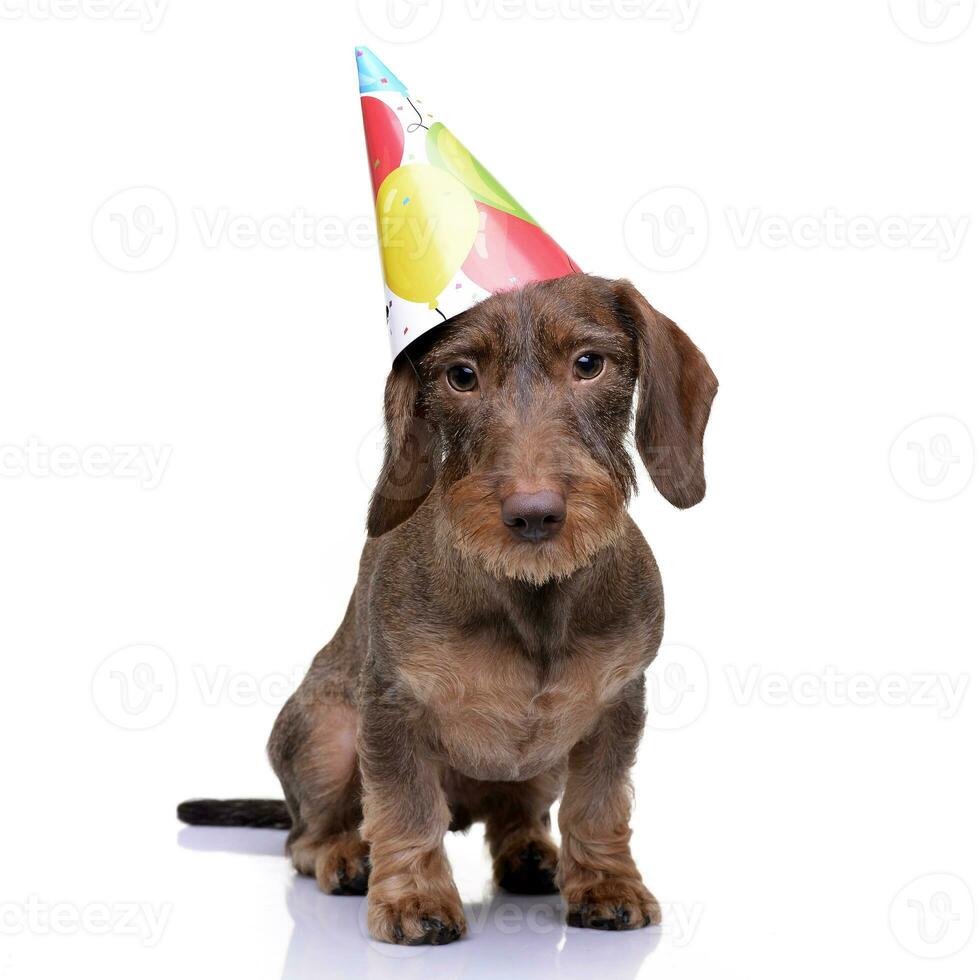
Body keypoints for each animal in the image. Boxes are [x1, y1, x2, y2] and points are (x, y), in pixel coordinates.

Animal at [176, 272, 716, 944]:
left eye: (589, 364)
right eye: (461, 376)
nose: (534, 514)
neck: (532, 598)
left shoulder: (615, 707)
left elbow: (597, 805)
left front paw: (607, 883)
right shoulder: (392, 708)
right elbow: (406, 808)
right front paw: (413, 897)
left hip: (544, 761)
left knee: (514, 814)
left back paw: (530, 854)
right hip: (327, 734)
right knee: (305, 837)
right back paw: (345, 856)